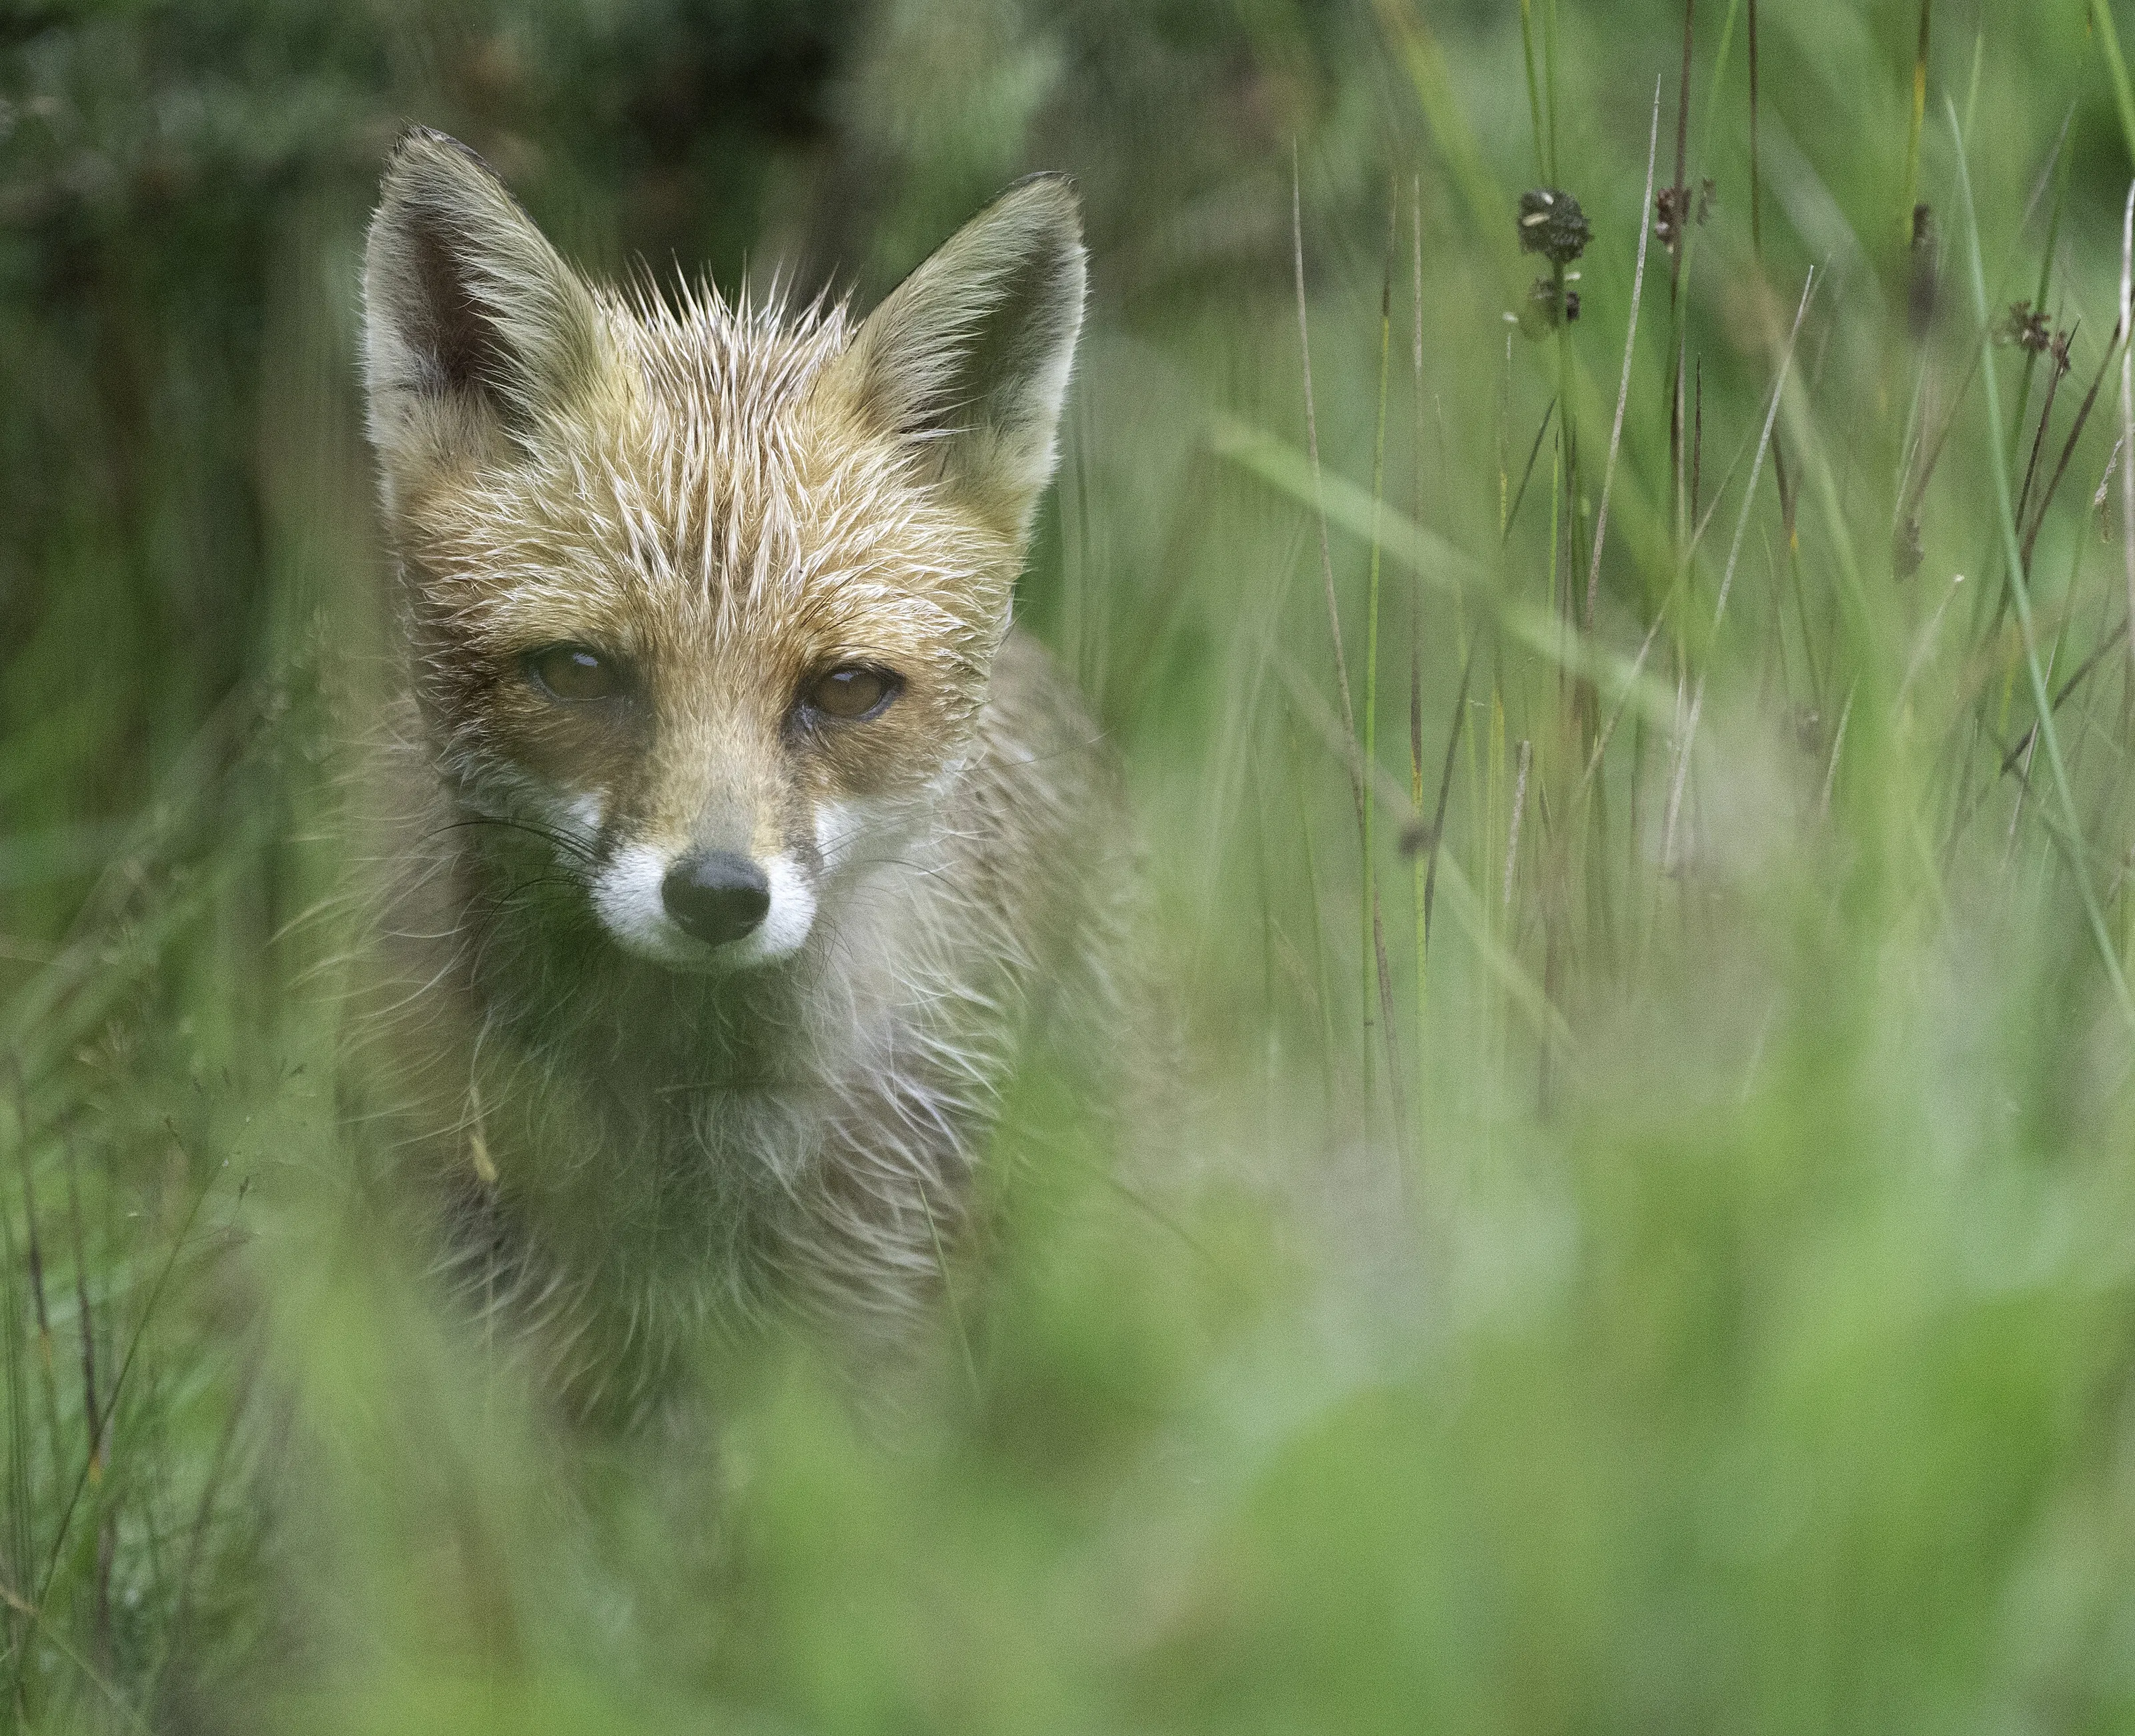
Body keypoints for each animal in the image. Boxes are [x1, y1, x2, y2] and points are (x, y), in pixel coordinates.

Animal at [355, 129, 1133, 1419]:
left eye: (847, 689)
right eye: (580, 671)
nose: (717, 895)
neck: (685, 1136)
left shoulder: (868, 1321)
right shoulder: (489, 1320)